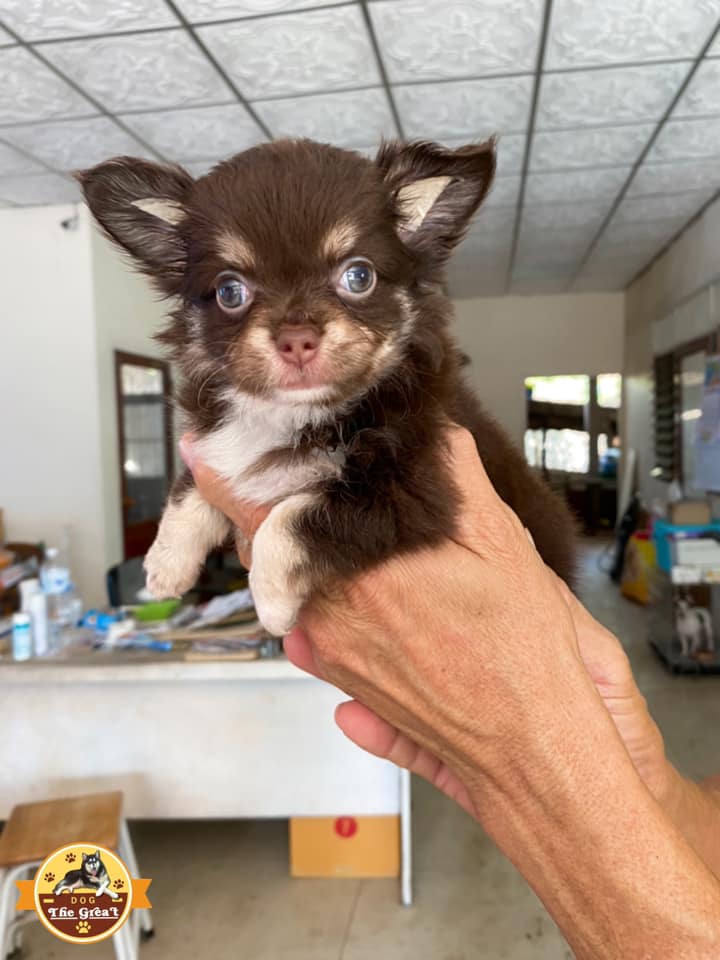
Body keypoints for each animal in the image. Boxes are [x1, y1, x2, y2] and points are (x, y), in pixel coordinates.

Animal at [78, 138, 576, 635]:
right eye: (229, 292)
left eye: (359, 276)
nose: (296, 338)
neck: (294, 413)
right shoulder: (218, 452)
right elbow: (188, 489)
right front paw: (164, 564)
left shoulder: (409, 490)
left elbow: (292, 519)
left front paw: (271, 607)